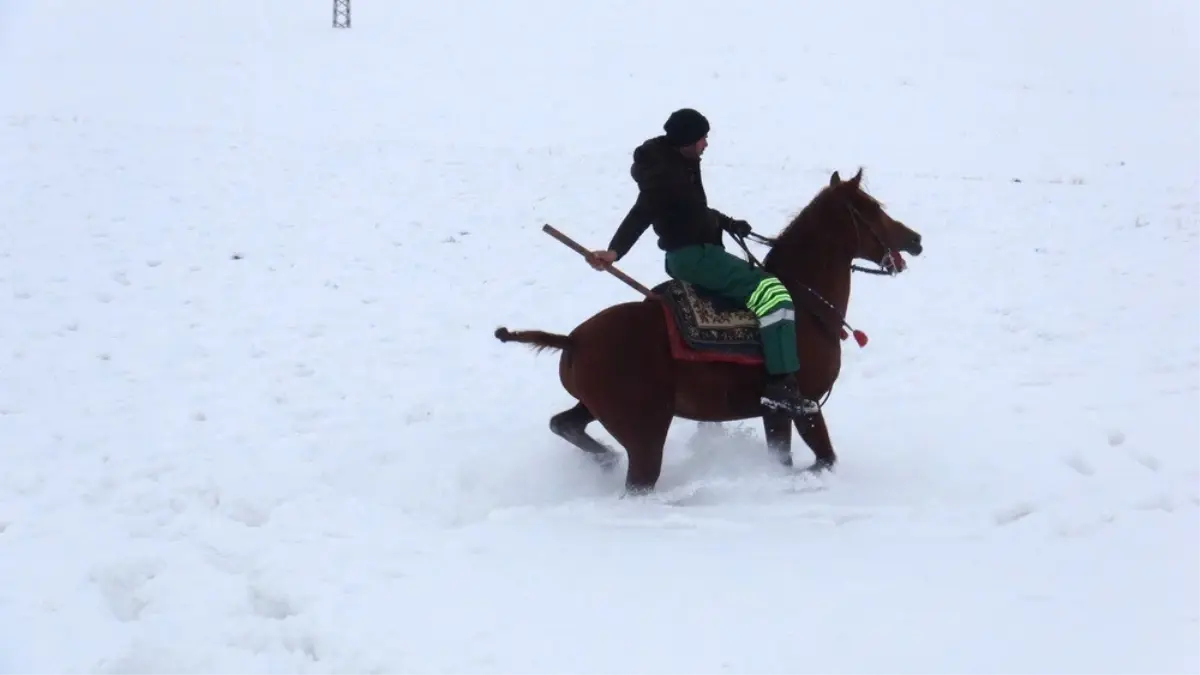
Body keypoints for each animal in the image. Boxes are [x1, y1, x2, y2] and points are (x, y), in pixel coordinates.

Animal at [492, 166, 921, 494]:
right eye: (872, 209)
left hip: (596, 409)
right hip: (645, 433)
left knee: (565, 424)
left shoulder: (773, 413)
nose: (914, 240)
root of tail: (575, 339)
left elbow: (786, 458)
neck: (806, 307)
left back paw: (604, 460)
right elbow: (825, 458)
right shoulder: (805, 404)